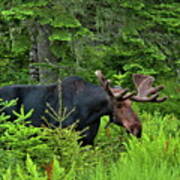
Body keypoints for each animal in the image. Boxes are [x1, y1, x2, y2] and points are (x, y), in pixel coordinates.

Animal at [0, 71, 167, 146]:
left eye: (131, 104)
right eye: (118, 105)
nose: (137, 128)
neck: (90, 114)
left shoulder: (88, 140)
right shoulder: (62, 133)